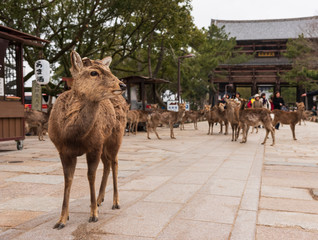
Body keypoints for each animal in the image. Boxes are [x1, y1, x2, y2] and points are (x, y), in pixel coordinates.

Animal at [48, 50, 126, 229]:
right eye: (93, 72)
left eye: (109, 70)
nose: (122, 85)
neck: (72, 136)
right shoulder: (63, 150)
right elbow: (68, 179)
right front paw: (62, 220)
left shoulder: (94, 146)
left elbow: (91, 176)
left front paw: (93, 215)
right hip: (104, 143)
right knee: (107, 163)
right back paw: (99, 199)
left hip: (115, 137)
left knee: (115, 162)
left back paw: (115, 202)